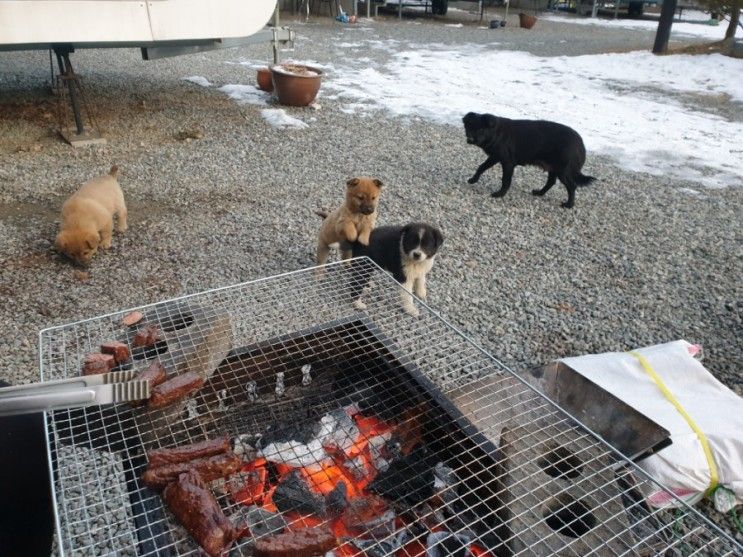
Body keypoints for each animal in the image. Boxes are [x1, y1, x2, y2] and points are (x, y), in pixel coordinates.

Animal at [462, 111, 596, 208]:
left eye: (480, 130)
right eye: (468, 128)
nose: (470, 139)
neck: (496, 132)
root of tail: (581, 145)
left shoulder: (508, 162)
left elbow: (506, 180)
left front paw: (500, 194)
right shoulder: (495, 157)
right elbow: (481, 167)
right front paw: (473, 179)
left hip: (563, 170)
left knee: (572, 186)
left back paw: (569, 205)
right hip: (553, 167)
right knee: (551, 182)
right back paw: (539, 193)